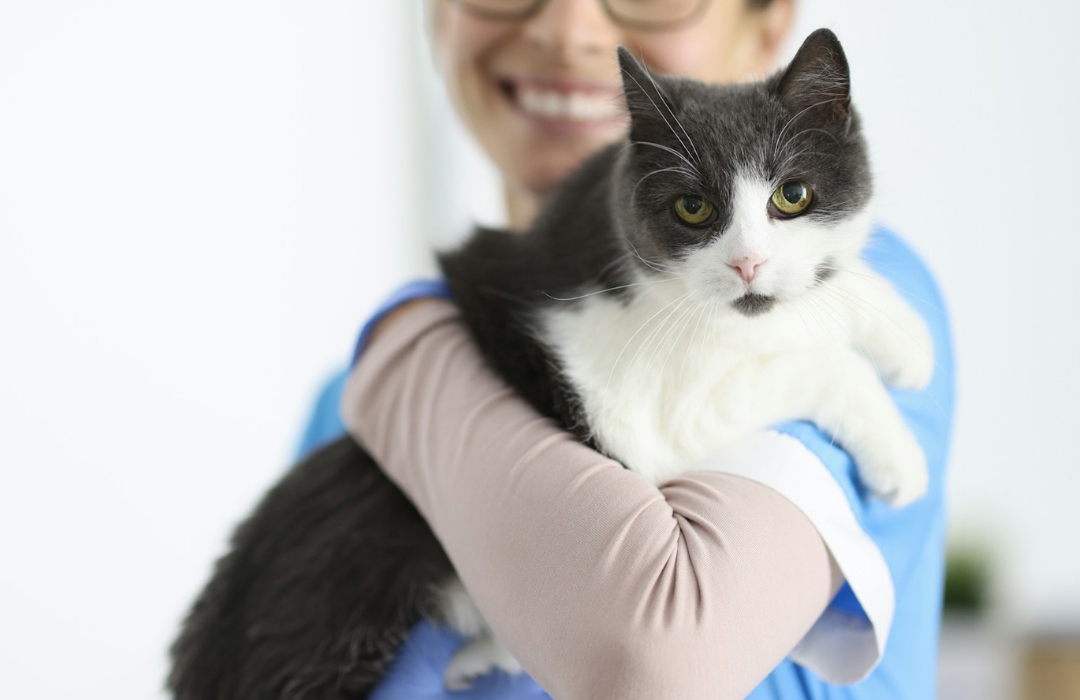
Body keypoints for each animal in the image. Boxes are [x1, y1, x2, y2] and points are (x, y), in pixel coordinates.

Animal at [168, 28, 928, 700]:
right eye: (692, 207)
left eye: (792, 196)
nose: (748, 264)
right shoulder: (633, 412)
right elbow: (798, 363)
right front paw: (897, 451)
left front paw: (904, 336)